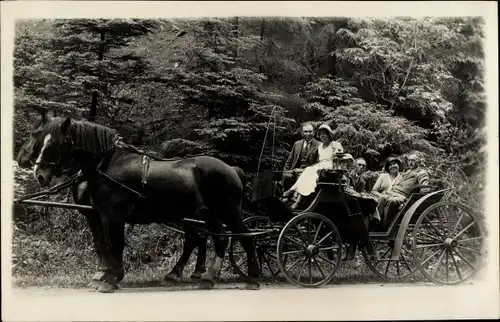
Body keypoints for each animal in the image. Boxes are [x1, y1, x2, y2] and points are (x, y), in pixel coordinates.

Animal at [22, 114, 260, 292]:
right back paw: (206, 277)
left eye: (55, 143)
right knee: (214, 238)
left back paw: (252, 278)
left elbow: (114, 244)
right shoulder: (97, 214)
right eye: (40, 140)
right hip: (207, 214)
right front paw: (104, 276)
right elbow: (102, 245)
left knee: (244, 237)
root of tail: (232, 169)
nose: (39, 174)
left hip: (227, 211)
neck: (105, 166)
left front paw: (111, 279)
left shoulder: (113, 216)